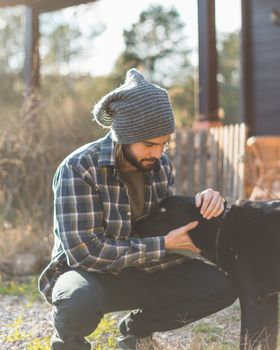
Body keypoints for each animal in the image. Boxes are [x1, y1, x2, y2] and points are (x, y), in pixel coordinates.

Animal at [132, 196, 280, 350]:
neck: (220, 228)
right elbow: (270, 339)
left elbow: (247, 341)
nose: (134, 223)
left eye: (163, 209)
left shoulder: (252, 299)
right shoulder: (269, 298)